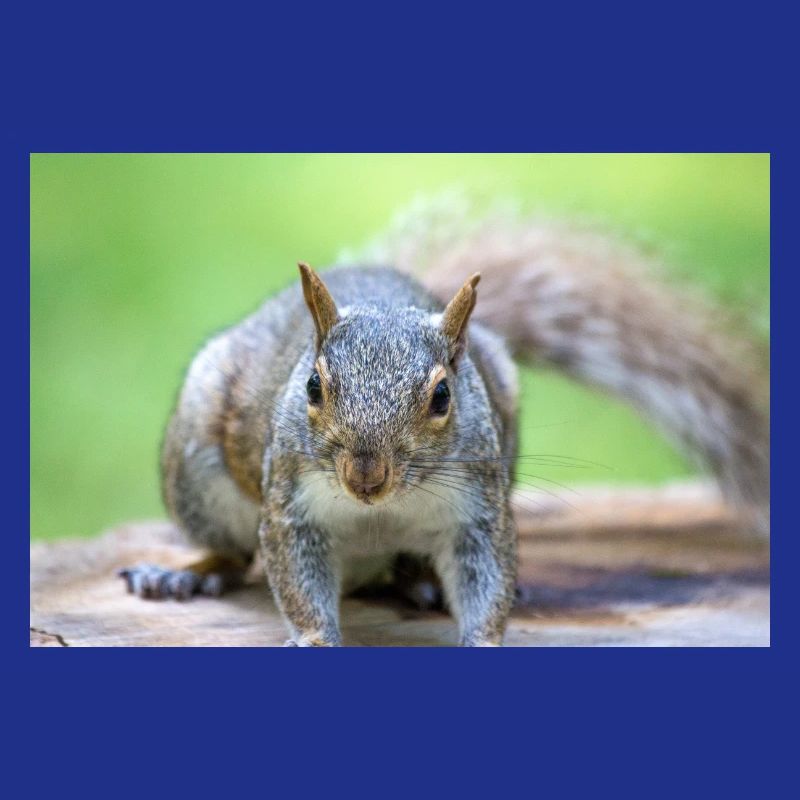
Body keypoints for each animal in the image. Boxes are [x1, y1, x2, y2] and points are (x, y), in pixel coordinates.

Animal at [118, 202, 770, 647]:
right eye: (312, 387)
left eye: (441, 396)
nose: (366, 477)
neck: (379, 512)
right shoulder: (290, 503)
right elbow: (294, 578)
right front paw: (314, 638)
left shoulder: (478, 510)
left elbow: (485, 577)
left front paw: (484, 635)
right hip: (198, 473)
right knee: (231, 553)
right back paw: (182, 576)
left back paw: (421, 582)